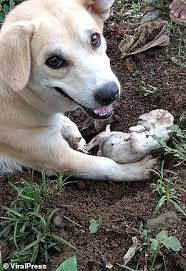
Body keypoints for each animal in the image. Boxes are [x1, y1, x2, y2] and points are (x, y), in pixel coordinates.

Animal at [0, 0, 158, 183]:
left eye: (95, 38)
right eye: (54, 60)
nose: (110, 93)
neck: (20, 97)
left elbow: (67, 122)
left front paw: (76, 137)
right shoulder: (57, 158)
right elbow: (106, 165)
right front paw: (135, 170)